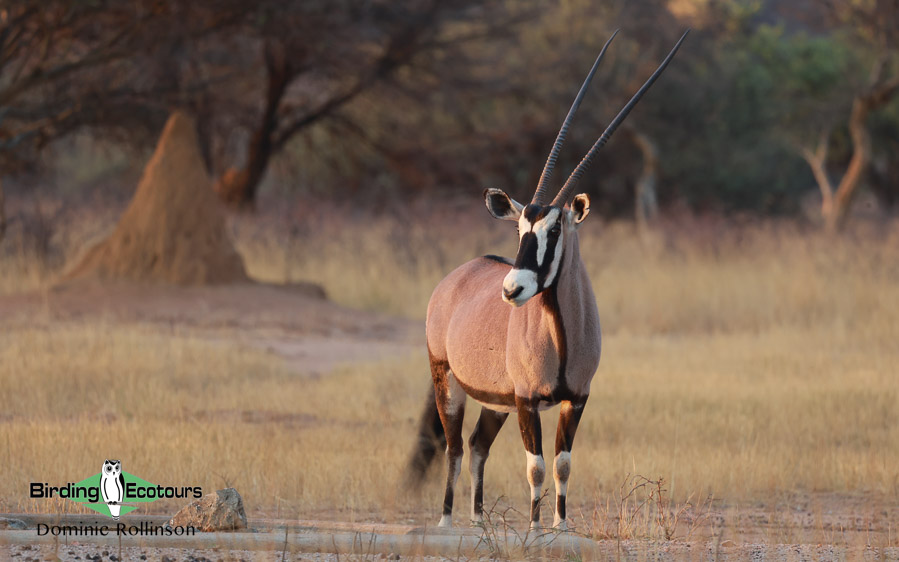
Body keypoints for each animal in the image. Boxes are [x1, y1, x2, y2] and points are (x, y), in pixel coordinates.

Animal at [408, 30, 688, 528]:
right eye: (520, 228)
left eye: (554, 230)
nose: (512, 289)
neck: (560, 332)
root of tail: (454, 279)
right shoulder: (526, 400)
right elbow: (536, 466)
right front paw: (536, 528)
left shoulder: (576, 399)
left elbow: (562, 464)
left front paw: (559, 525)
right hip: (448, 382)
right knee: (455, 448)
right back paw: (446, 523)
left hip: (494, 402)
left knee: (476, 446)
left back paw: (478, 524)